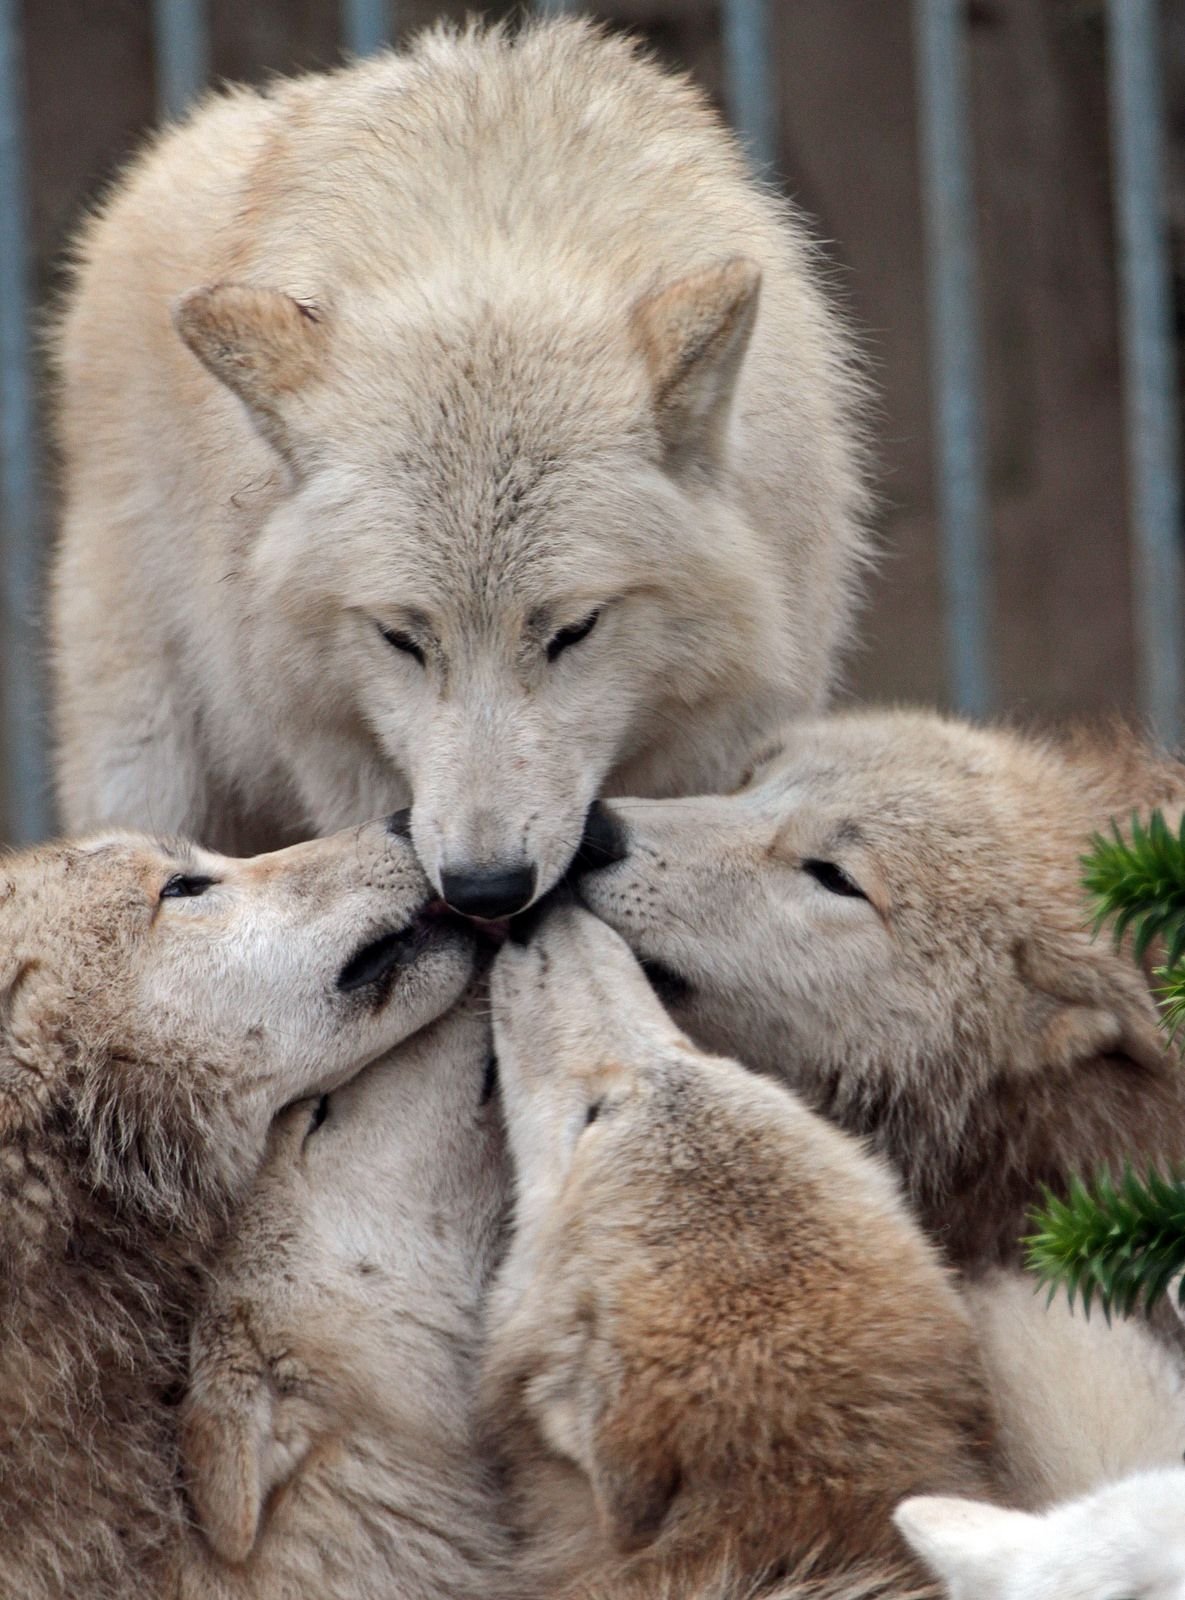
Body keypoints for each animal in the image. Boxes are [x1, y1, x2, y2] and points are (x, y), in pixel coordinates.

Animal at [53, 15, 869, 915]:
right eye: (401, 638)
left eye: (574, 630)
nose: (485, 888)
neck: (497, 234)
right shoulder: (344, 758)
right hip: (147, 755)